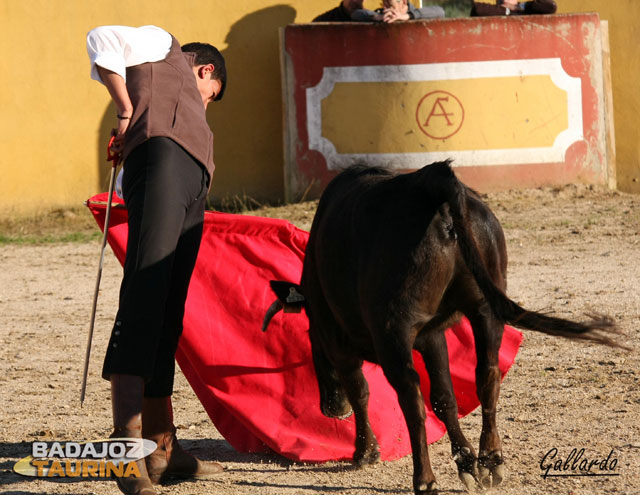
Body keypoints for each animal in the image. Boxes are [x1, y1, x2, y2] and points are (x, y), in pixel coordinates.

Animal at [262, 163, 624, 495]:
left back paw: (424, 480)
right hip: (485, 308)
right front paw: (466, 462)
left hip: (394, 332)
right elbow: (445, 397)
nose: (331, 409)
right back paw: (491, 460)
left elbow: (363, 391)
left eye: (311, 337)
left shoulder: (341, 339)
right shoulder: (433, 336)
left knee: (411, 398)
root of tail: (433, 181)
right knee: (487, 374)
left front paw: (365, 453)